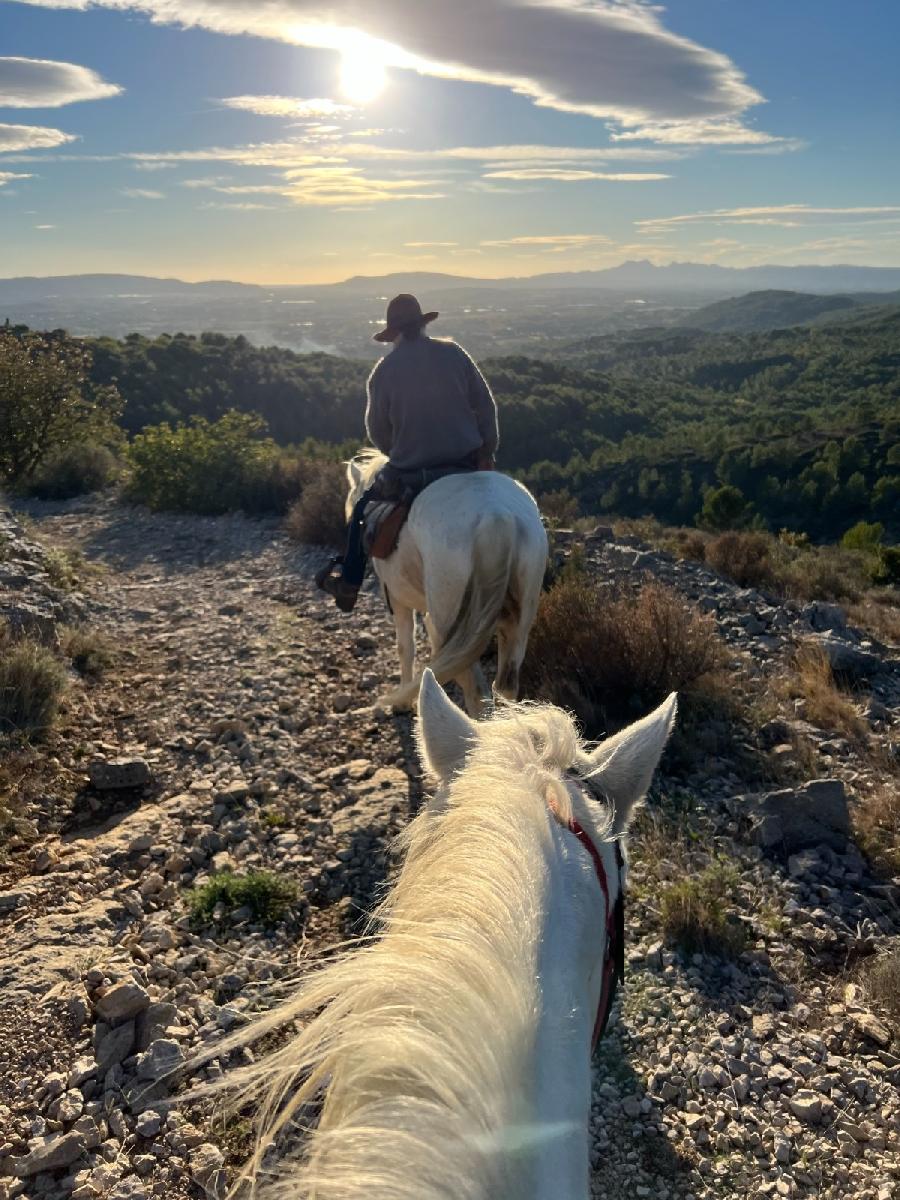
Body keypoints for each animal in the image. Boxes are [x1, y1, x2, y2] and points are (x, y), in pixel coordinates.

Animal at [348, 451, 549, 710]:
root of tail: (496, 517)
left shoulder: (397, 599)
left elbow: (406, 647)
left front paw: (403, 701)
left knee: (476, 691)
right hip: (519, 620)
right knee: (506, 685)